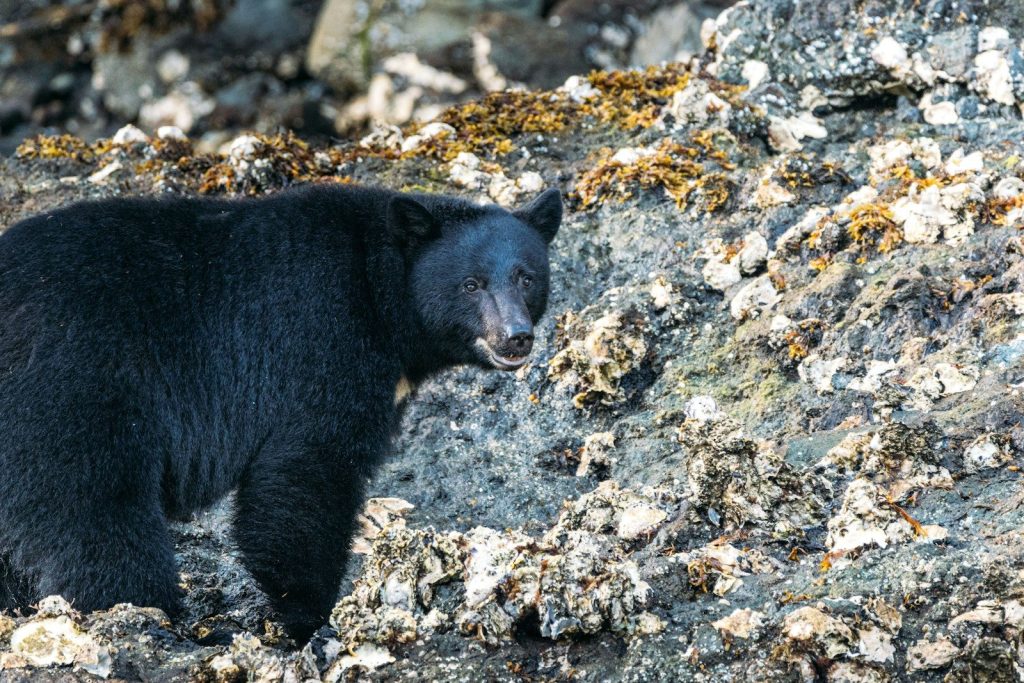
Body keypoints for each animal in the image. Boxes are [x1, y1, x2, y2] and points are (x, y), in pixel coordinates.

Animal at [0, 182, 562, 640]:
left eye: (526, 277)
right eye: (471, 284)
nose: (515, 337)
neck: (379, 290)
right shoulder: (322, 338)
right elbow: (305, 476)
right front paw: (310, 617)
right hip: (74, 387)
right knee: (96, 512)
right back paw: (154, 616)